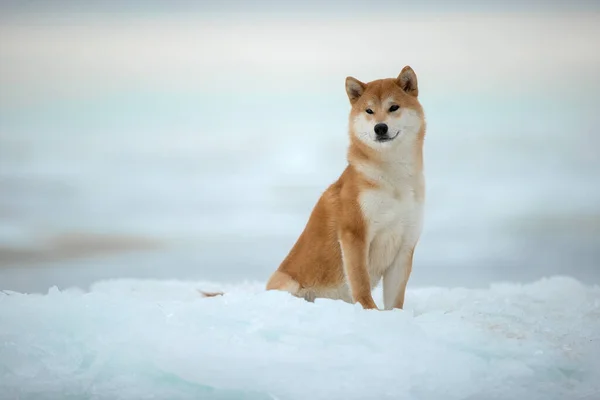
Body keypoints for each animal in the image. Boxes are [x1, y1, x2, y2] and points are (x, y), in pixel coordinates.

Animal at [204, 65, 424, 310]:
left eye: (393, 107)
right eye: (369, 110)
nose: (380, 127)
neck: (393, 179)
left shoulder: (405, 244)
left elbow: (395, 300)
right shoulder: (354, 234)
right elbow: (360, 283)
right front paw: (369, 311)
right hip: (289, 283)